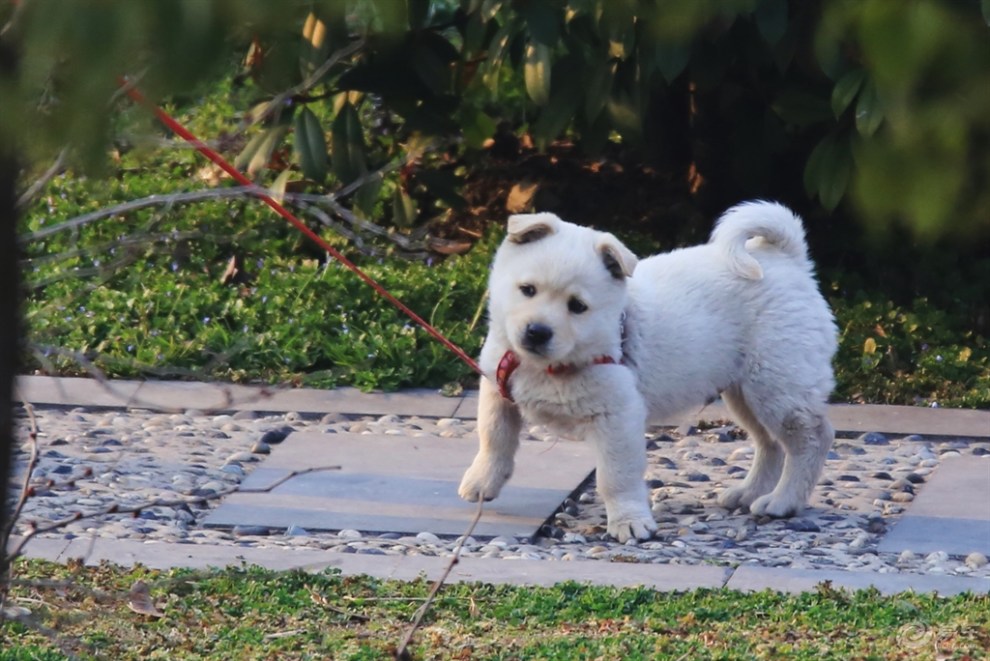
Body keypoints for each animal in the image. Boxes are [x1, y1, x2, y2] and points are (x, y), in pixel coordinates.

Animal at [458, 201, 836, 540]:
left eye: (577, 306)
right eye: (527, 290)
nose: (537, 332)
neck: (551, 365)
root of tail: (786, 259)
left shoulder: (618, 417)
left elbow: (616, 476)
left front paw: (629, 522)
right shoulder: (496, 387)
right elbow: (494, 436)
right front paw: (481, 481)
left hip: (778, 384)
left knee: (810, 438)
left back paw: (782, 501)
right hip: (745, 391)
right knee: (769, 443)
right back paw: (747, 492)